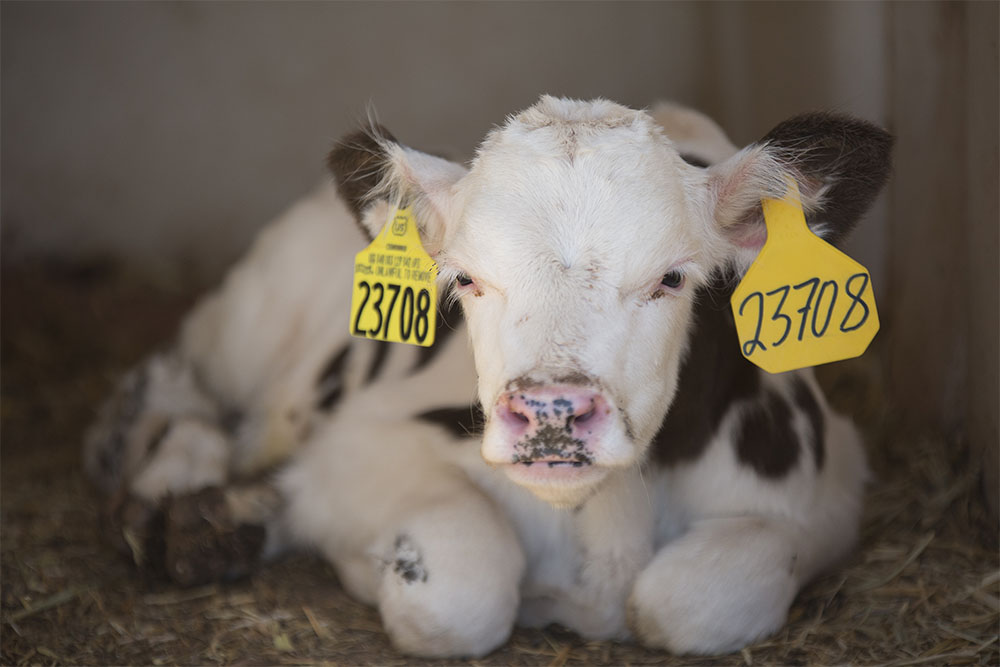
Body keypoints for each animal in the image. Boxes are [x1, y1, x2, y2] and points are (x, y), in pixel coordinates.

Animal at [86, 98, 892, 656]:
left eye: (671, 276)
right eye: (467, 278)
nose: (552, 412)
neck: (606, 527)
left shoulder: (829, 493)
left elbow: (686, 596)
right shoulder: (364, 443)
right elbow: (461, 589)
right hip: (250, 316)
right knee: (172, 379)